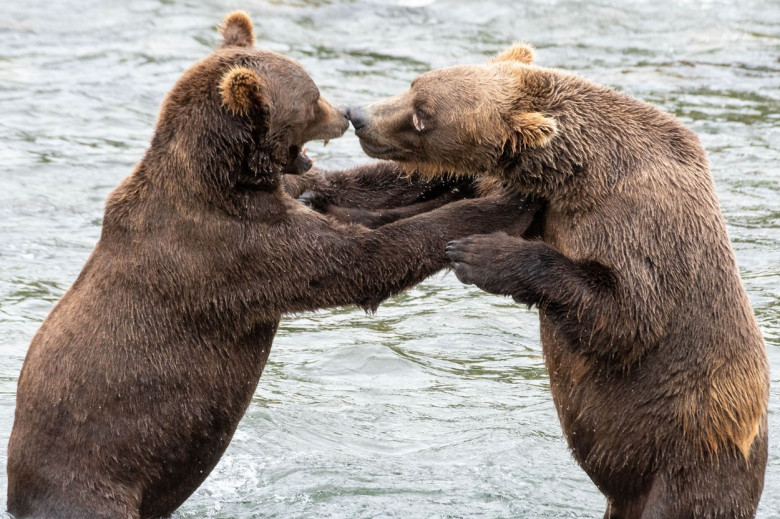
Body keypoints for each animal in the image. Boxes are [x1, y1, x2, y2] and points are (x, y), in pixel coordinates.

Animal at [7, 16, 536, 519]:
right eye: (314, 96)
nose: (346, 114)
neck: (229, 177)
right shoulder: (234, 249)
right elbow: (360, 258)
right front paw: (501, 203)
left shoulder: (284, 194)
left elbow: (354, 191)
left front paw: (467, 178)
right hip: (95, 475)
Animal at [346, 44, 768, 519]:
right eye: (415, 83)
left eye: (423, 115)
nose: (358, 115)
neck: (579, 175)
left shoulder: (641, 224)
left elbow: (626, 318)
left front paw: (476, 253)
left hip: (690, 454)